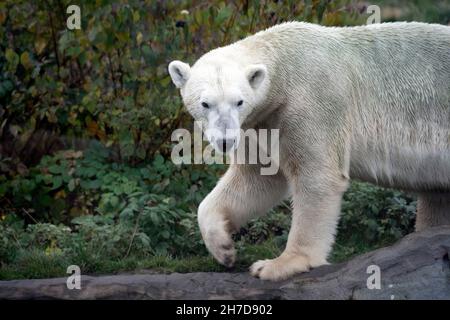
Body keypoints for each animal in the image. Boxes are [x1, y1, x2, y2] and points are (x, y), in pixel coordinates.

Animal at [168, 21, 450, 280]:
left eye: (239, 101)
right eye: (205, 103)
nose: (226, 141)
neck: (285, 67)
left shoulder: (312, 104)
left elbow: (317, 177)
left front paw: (276, 264)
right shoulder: (261, 122)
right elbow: (257, 179)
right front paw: (224, 249)